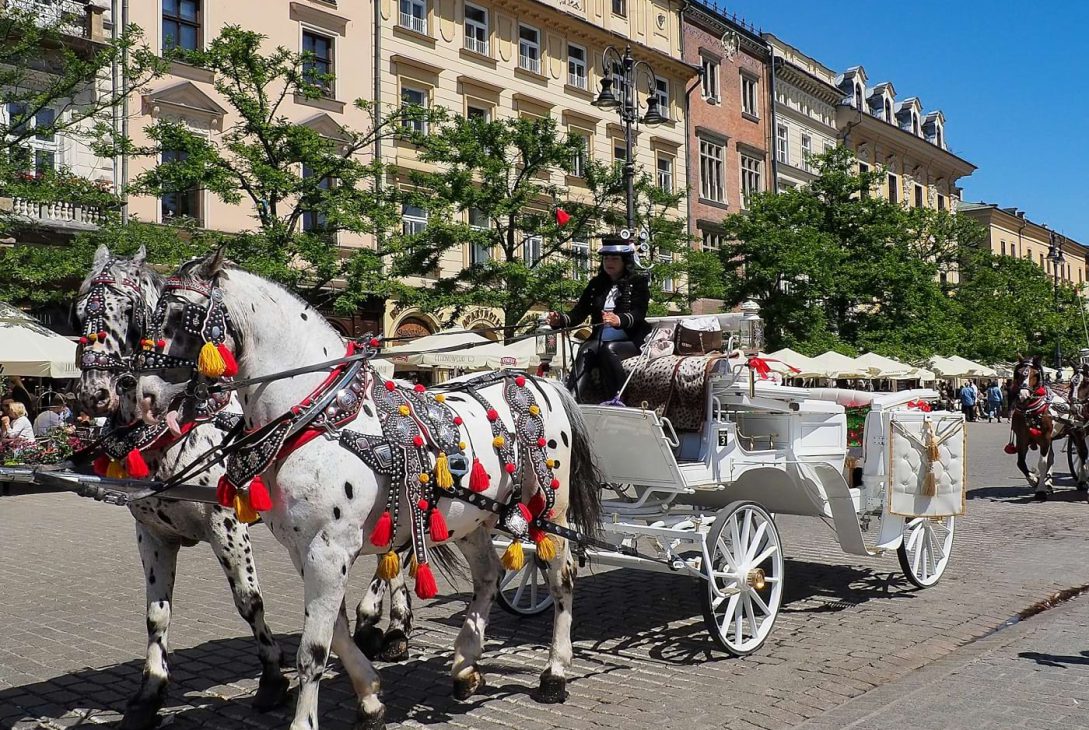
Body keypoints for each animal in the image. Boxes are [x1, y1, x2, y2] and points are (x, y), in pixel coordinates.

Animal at [131, 250, 601, 730]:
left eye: (179, 317)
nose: (144, 397)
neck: (320, 414)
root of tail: (539, 380)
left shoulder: (329, 548)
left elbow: (312, 650)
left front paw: (306, 721)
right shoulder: (305, 550)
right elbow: (335, 635)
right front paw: (371, 697)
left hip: (549, 511)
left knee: (562, 579)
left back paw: (554, 673)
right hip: (473, 519)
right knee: (488, 574)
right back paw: (465, 665)